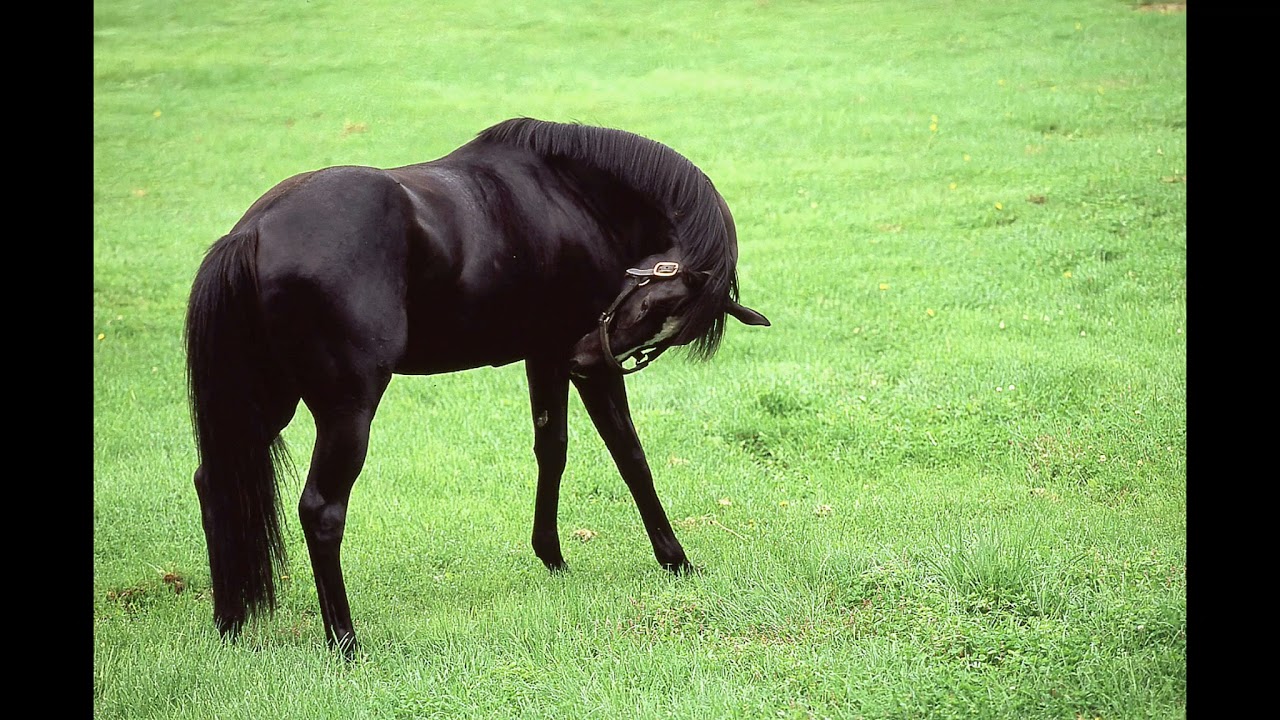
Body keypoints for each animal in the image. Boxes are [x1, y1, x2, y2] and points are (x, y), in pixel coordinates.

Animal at [184, 117, 770, 656]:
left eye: (665, 336)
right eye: (649, 304)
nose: (585, 357)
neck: (570, 195)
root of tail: (254, 231)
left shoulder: (546, 355)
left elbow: (552, 448)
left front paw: (552, 555)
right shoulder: (579, 362)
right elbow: (630, 456)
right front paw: (675, 558)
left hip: (264, 401)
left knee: (215, 483)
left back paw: (230, 623)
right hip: (347, 409)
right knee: (321, 510)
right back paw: (345, 641)